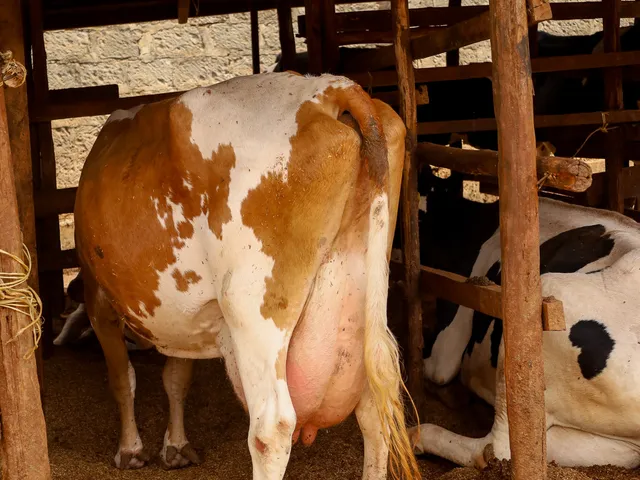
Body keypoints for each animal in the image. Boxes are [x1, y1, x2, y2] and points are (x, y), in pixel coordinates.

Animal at [71, 71, 420, 480]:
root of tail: (330, 89)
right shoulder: (187, 313)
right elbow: (176, 379)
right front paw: (176, 446)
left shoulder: (97, 297)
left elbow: (122, 379)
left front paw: (129, 450)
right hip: (361, 298)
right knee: (374, 409)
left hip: (252, 305)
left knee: (271, 428)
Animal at [408, 168, 640, 470]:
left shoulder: (448, 343)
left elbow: (436, 368)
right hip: (617, 446)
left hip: (544, 300)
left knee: (496, 448)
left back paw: (417, 435)